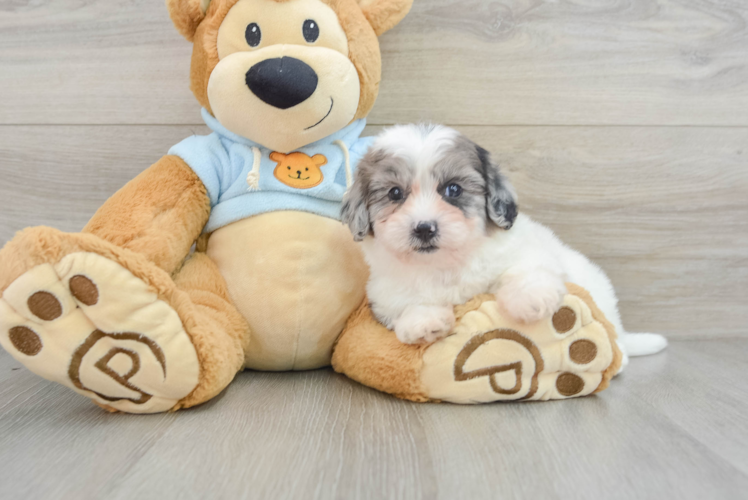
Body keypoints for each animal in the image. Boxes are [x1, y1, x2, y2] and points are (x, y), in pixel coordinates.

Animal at [344, 123, 668, 366]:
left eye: (453, 189)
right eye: (395, 193)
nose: (424, 228)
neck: (445, 265)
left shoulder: (527, 252)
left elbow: (523, 271)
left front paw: (530, 299)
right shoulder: (386, 295)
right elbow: (408, 306)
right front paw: (424, 321)